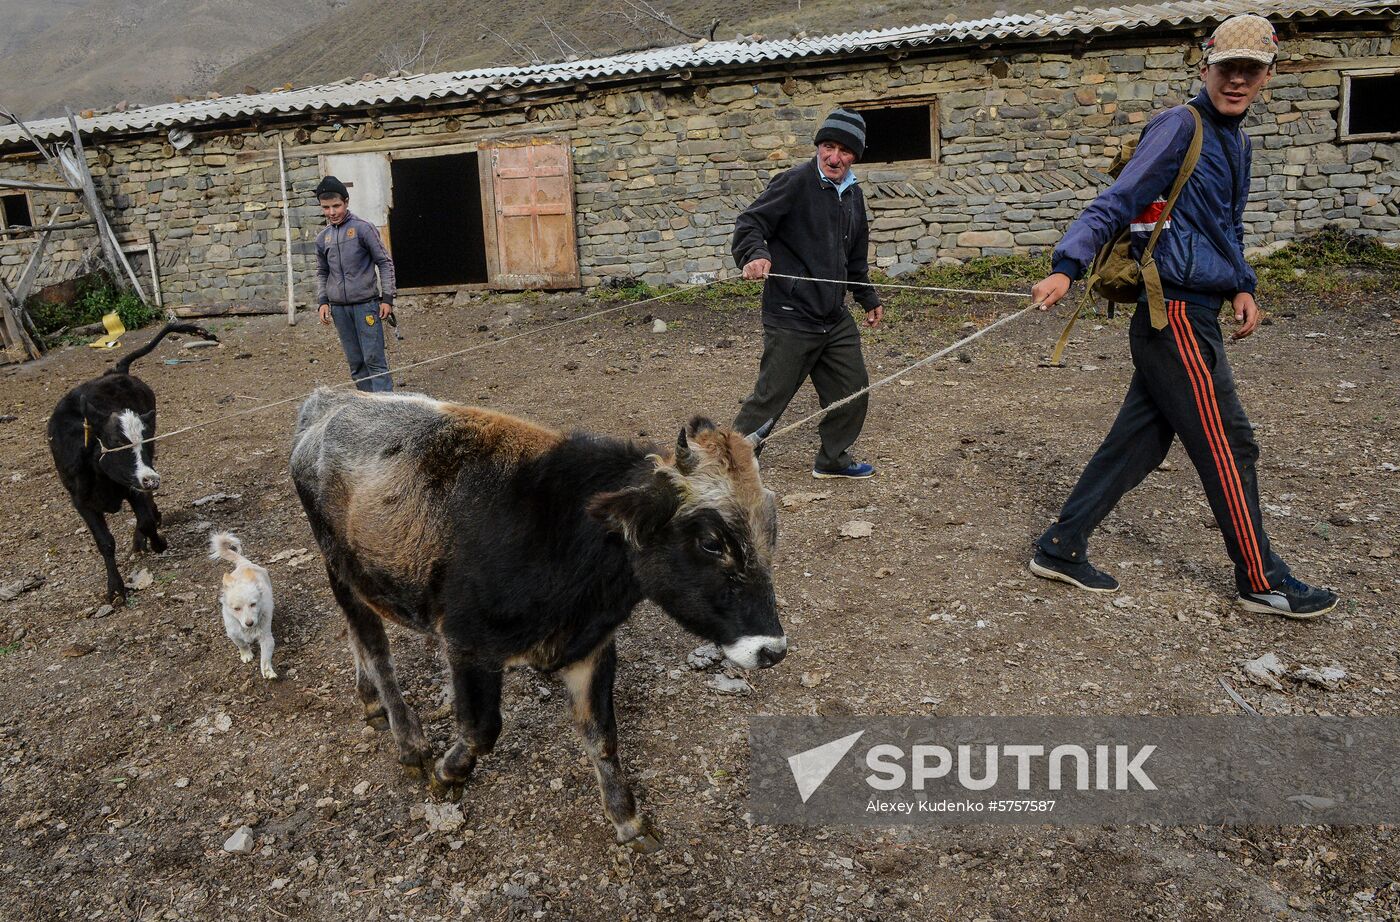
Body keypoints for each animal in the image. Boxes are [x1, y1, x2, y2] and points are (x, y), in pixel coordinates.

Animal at [47, 320, 215, 601]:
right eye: (116, 442)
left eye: (144, 440)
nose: (152, 479)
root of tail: (117, 371)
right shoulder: (80, 500)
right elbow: (105, 542)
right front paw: (115, 589)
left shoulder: (132, 484)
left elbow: (145, 521)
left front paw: (157, 542)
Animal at [210, 534, 278, 677]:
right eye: (237, 609)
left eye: (253, 604)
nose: (249, 623)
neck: (247, 630)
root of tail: (244, 563)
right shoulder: (233, 634)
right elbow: (242, 644)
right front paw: (246, 655)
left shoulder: (266, 638)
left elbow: (265, 657)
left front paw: (268, 671)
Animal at [291, 388, 789, 850]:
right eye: (711, 541)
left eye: (771, 525)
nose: (772, 650)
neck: (565, 538)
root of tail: (329, 400)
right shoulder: (468, 644)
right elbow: (482, 730)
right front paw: (446, 774)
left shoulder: (591, 648)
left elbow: (602, 736)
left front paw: (626, 817)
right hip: (343, 571)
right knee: (373, 646)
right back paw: (408, 738)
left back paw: (369, 701)